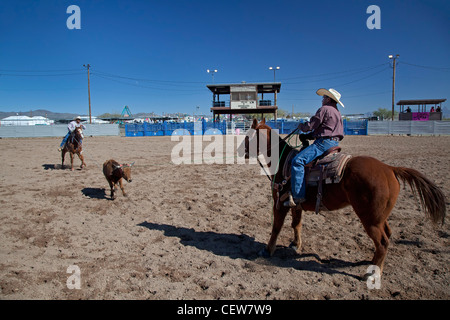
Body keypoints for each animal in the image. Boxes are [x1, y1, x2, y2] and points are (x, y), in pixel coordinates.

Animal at [241, 119, 444, 278]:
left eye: (248, 136)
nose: (239, 150)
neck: (284, 162)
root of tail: (390, 168)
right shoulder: (295, 204)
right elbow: (296, 225)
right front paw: (295, 245)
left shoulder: (280, 204)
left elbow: (276, 227)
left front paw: (267, 250)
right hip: (379, 217)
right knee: (387, 236)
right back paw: (372, 263)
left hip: (370, 219)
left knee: (383, 242)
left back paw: (373, 273)